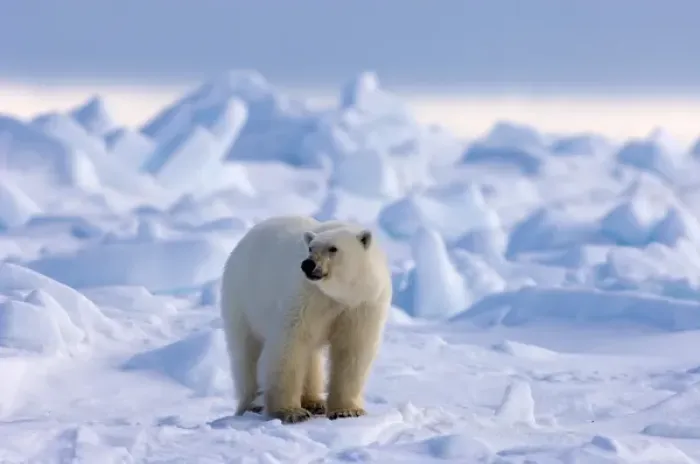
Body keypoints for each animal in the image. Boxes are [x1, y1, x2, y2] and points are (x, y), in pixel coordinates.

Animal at [219, 215, 392, 424]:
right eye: (310, 248)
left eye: (333, 248)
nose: (308, 264)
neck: (340, 296)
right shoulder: (307, 296)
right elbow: (291, 345)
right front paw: (291, 412)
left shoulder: (363, 304)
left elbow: (352, 350)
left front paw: (347, 410)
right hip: (242, 300)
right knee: (246, 353)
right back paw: (251, 404)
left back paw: (314, 402)